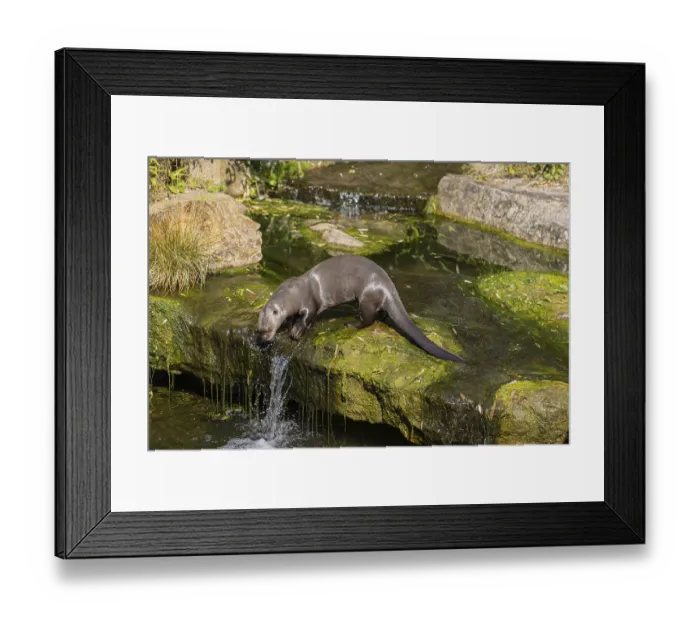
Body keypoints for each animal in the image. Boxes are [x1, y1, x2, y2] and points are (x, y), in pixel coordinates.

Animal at [256, 255, 466, 365]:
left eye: (267, 329)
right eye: (259, 330)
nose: (264, 339)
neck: (294, 292)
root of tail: (386, 284)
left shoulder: (309, 302)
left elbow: (308, 316)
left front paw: (297, 331)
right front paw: (290, 325)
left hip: (366, 296)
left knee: (368, 319)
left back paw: (351, 324)